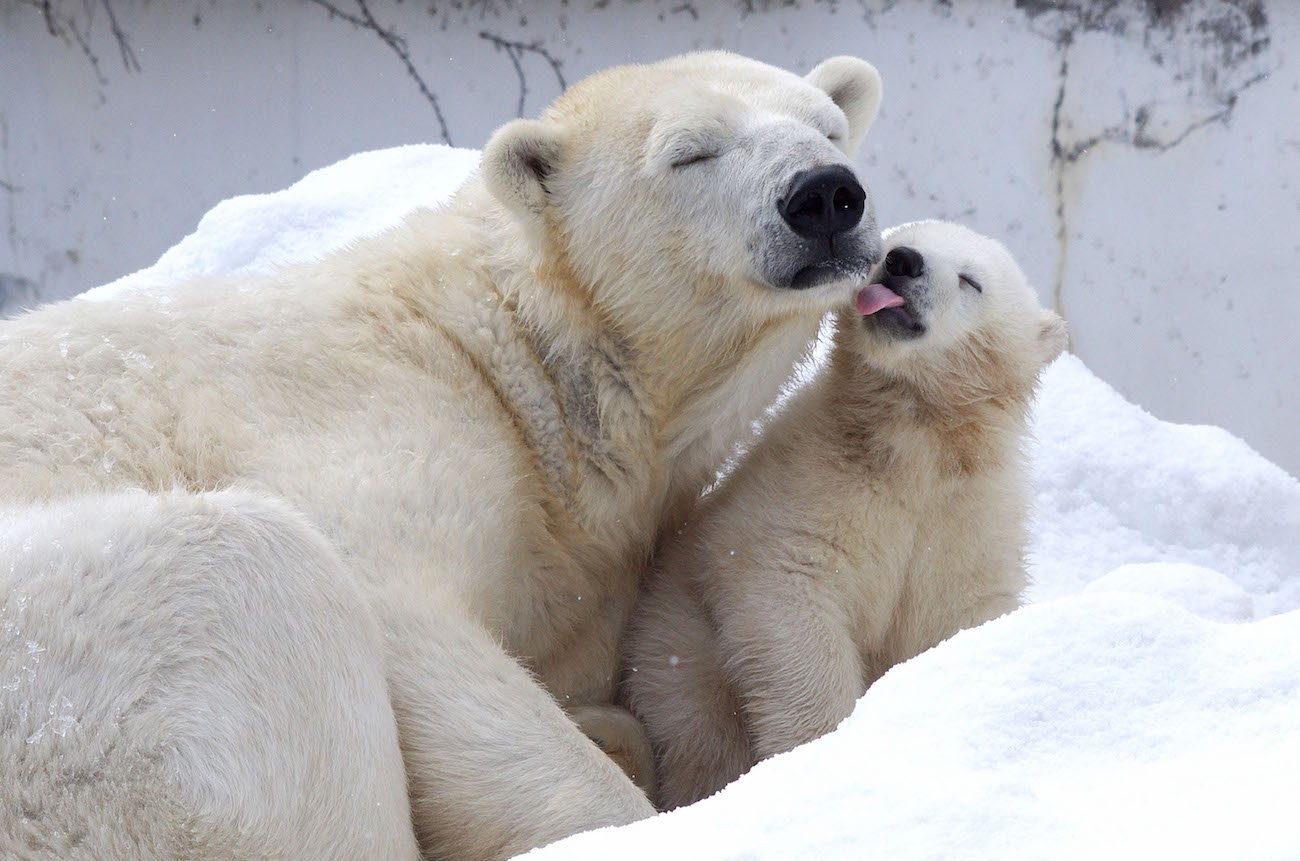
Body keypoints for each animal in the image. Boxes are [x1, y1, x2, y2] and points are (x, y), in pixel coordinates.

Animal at [0, 53, 883, 861]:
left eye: (828, 127)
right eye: (690, 152)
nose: (823, 195)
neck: (509, 352)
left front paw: (609, 724)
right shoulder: (369, 418)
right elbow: (407, 614)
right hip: (63, 664)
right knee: (251, 571)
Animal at [621, 219, 1066, 811]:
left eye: (972, 280)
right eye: (892, 243)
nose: (902, 261)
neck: (919, 443)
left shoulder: (968, 526)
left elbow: (957, 621)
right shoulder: (811, 484)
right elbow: (786, 587)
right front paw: (820, 748)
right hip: (678, 643)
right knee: (702, 731)